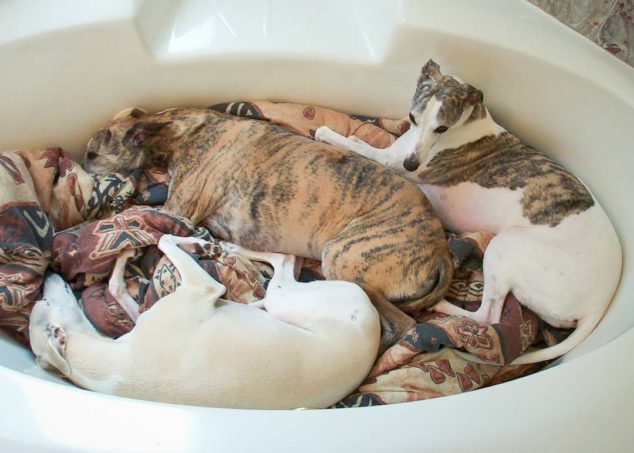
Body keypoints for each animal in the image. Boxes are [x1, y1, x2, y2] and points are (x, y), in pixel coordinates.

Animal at [29, 235, 378, 408]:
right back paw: (234, 249)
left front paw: (123, 256)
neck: (111, 365)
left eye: (42, 302)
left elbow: (118, 286)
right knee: (283, 263)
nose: (48, 274)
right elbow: (165, 241)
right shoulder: (205, 288)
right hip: (291, 298)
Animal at [81, 107, 452, 348]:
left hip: (342, 258)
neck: (181, 130)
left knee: (401, 324)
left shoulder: (178, 210)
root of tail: (443, 250)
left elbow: (138, 232)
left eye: (91, 154)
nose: (82, 173)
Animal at [314, 59, 620, 364]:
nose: (412, 164)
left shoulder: (388, 160)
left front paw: (325, 133)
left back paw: (441, 307)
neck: (469, 121)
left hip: (503, 247)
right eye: (413, 118)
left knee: (487, 316)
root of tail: (599, 301)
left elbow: (343, 139)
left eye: (441, 128)